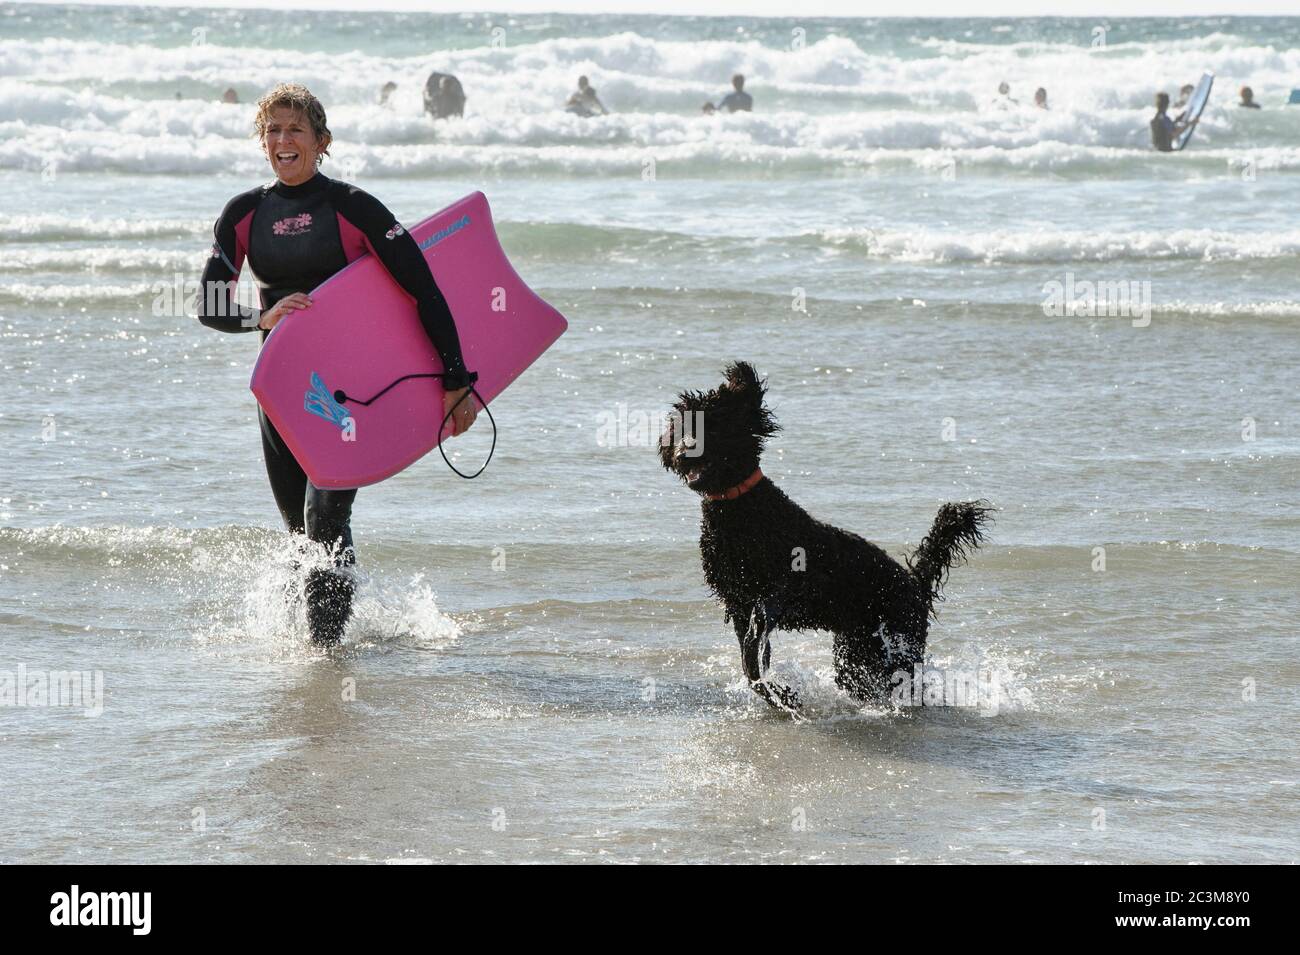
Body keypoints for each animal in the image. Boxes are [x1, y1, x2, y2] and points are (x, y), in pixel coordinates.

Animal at [660, 361, 993, 712]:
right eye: (679, 427)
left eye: (714, 424)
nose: (682, 454)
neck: (742, 510)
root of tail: (916, 582)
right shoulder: (737, 604)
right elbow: (751, 664)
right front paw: (782, 696)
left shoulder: (776, 592)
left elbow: (755, 645)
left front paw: (785, 695)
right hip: (857, 650)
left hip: (899, 641)